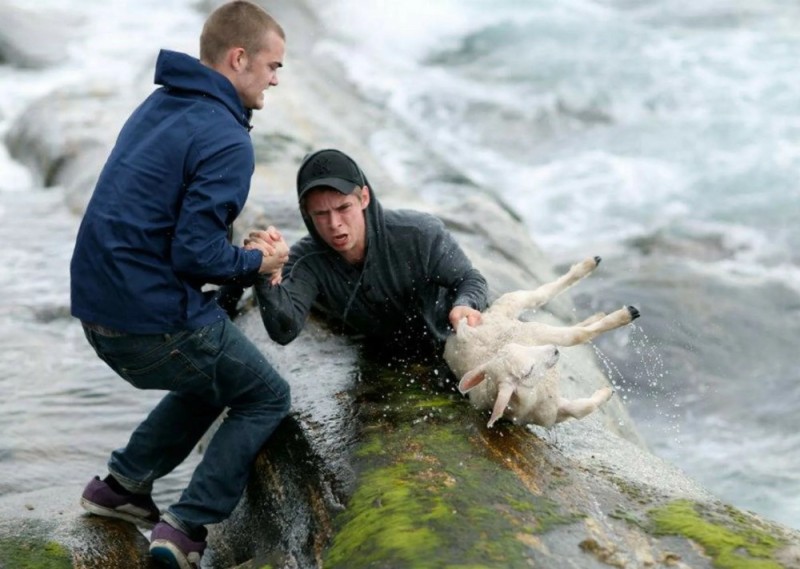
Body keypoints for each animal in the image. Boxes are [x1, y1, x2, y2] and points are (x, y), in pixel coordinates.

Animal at [444, 256, 636, 426]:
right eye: (528, 371)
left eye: (517, 345)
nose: (555, 350)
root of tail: (461, 331)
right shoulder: (553, 411)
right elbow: (580, 409)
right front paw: (608, 392)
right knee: (563, 319)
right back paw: (621, 313)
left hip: (514, 309)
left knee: (541, 294)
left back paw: (589, 267)